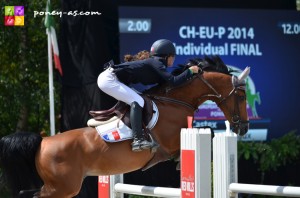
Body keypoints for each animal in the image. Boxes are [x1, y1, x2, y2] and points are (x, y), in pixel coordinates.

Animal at [0, 55, 251, 196]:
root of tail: (43, 141)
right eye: (241, 96)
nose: (244, 128)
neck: (176, 101)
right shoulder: (172, 142)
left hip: (61, 187)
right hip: (62, 188)